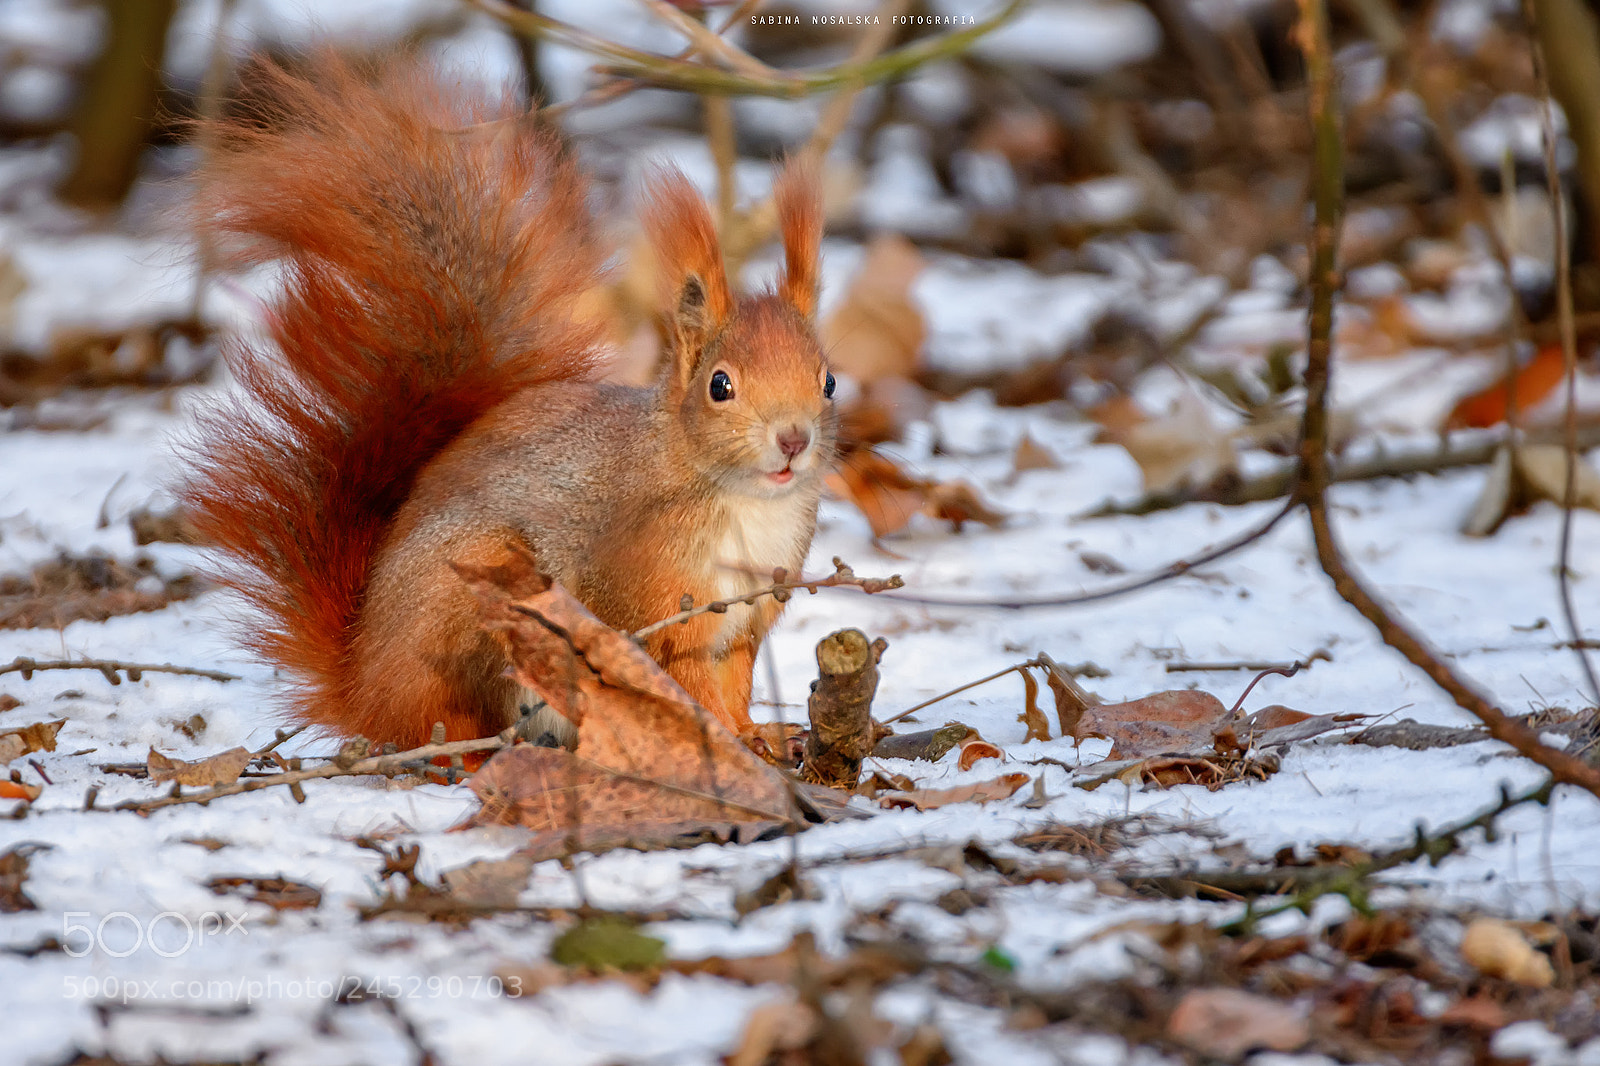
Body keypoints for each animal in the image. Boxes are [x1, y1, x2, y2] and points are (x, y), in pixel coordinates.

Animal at [181, 53, 836, 751]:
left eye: (828, 382)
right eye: (720, 385)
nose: (793, 439)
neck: (745, 501)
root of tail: (361, 687)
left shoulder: (748, 615)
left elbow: (735, 681)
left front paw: (761, 735)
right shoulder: (657, 600)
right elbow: (688, 682)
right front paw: (725, 740)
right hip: (479, 606)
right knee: (448, 725)